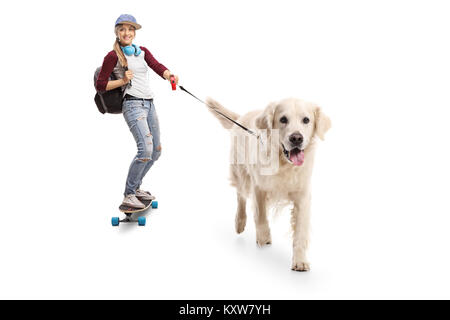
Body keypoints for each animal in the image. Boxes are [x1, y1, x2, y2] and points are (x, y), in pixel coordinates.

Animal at [207, 97, 330, 270]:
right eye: (283, 119)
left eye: (306, 120)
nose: (296, 138)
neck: (283, 164)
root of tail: (240, 117)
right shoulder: (259, 186)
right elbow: (261, 216)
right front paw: (264, 238)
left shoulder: (303, 195)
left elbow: (300, 231)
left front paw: (300, 260)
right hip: (241, 173)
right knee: (241, 196)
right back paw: (239, 221)